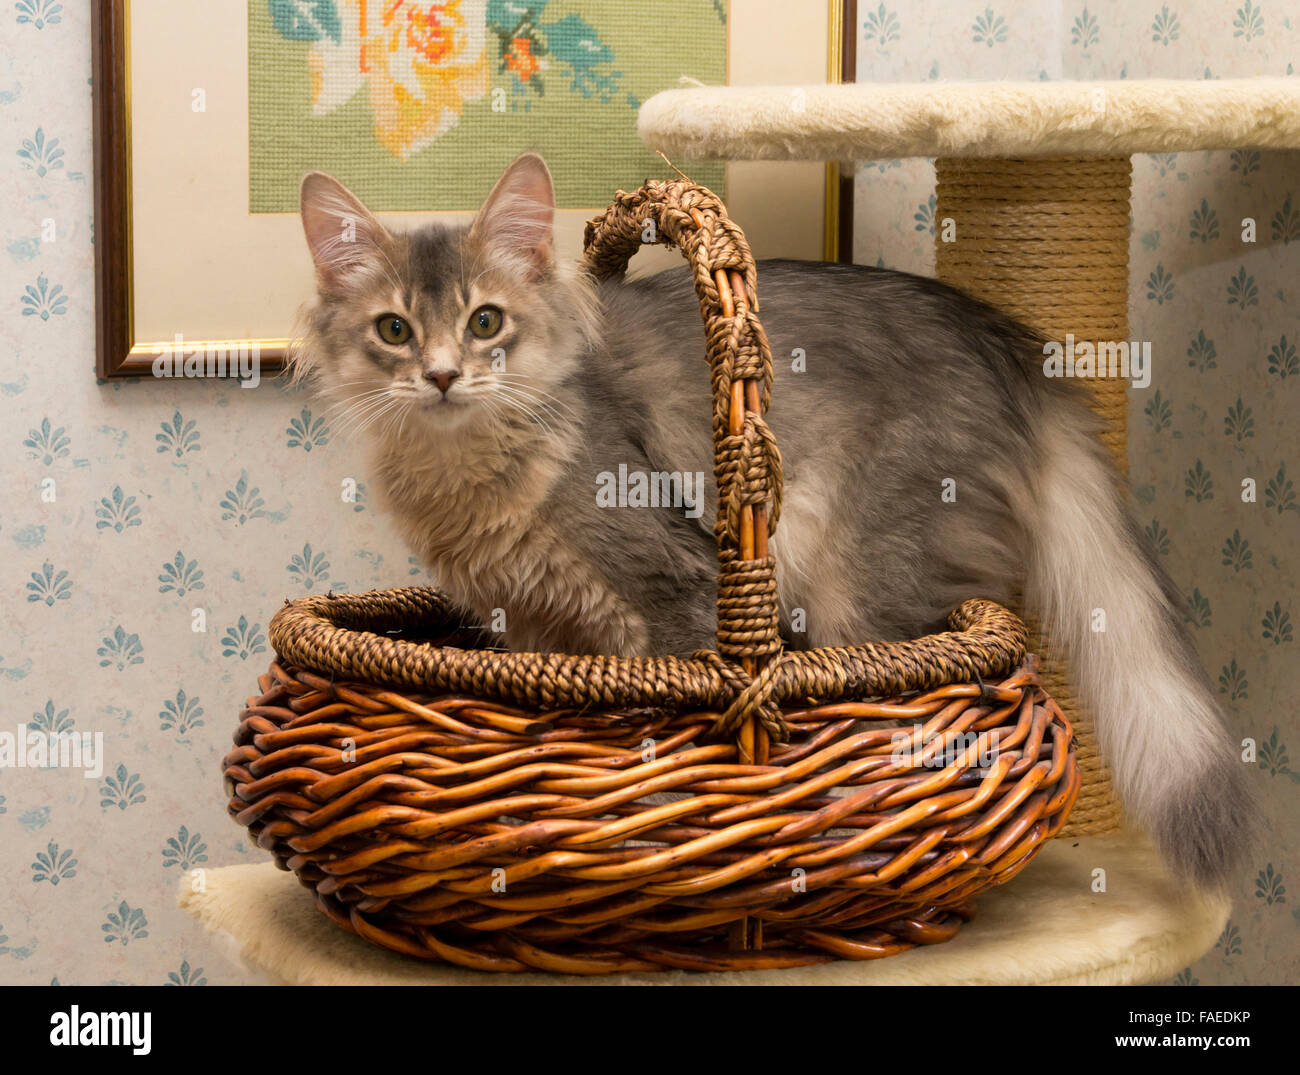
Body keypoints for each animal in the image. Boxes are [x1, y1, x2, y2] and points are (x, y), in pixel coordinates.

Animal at [295, 151, 1248, 889]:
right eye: (394, 330)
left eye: (485, 321)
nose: (443, 376)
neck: (466, 471)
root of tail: (1010, 347)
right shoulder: (528, 623)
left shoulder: (671, 586)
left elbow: (665, 730)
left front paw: (657, 820)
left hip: (855, 583)